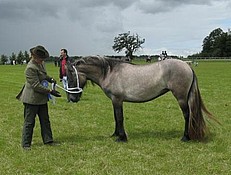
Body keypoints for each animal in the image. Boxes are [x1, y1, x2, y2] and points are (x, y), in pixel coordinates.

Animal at [66, 56, 217, 142]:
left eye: (71, 78)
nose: (72, 98)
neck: (109, 73)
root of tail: (187, 66)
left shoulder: (117, 100)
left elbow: (119, 118)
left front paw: (122, 138)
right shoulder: (114, 101)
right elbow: (116, 117)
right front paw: (115, 134)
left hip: (181, 98)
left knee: (187, 115)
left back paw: (185, 137)